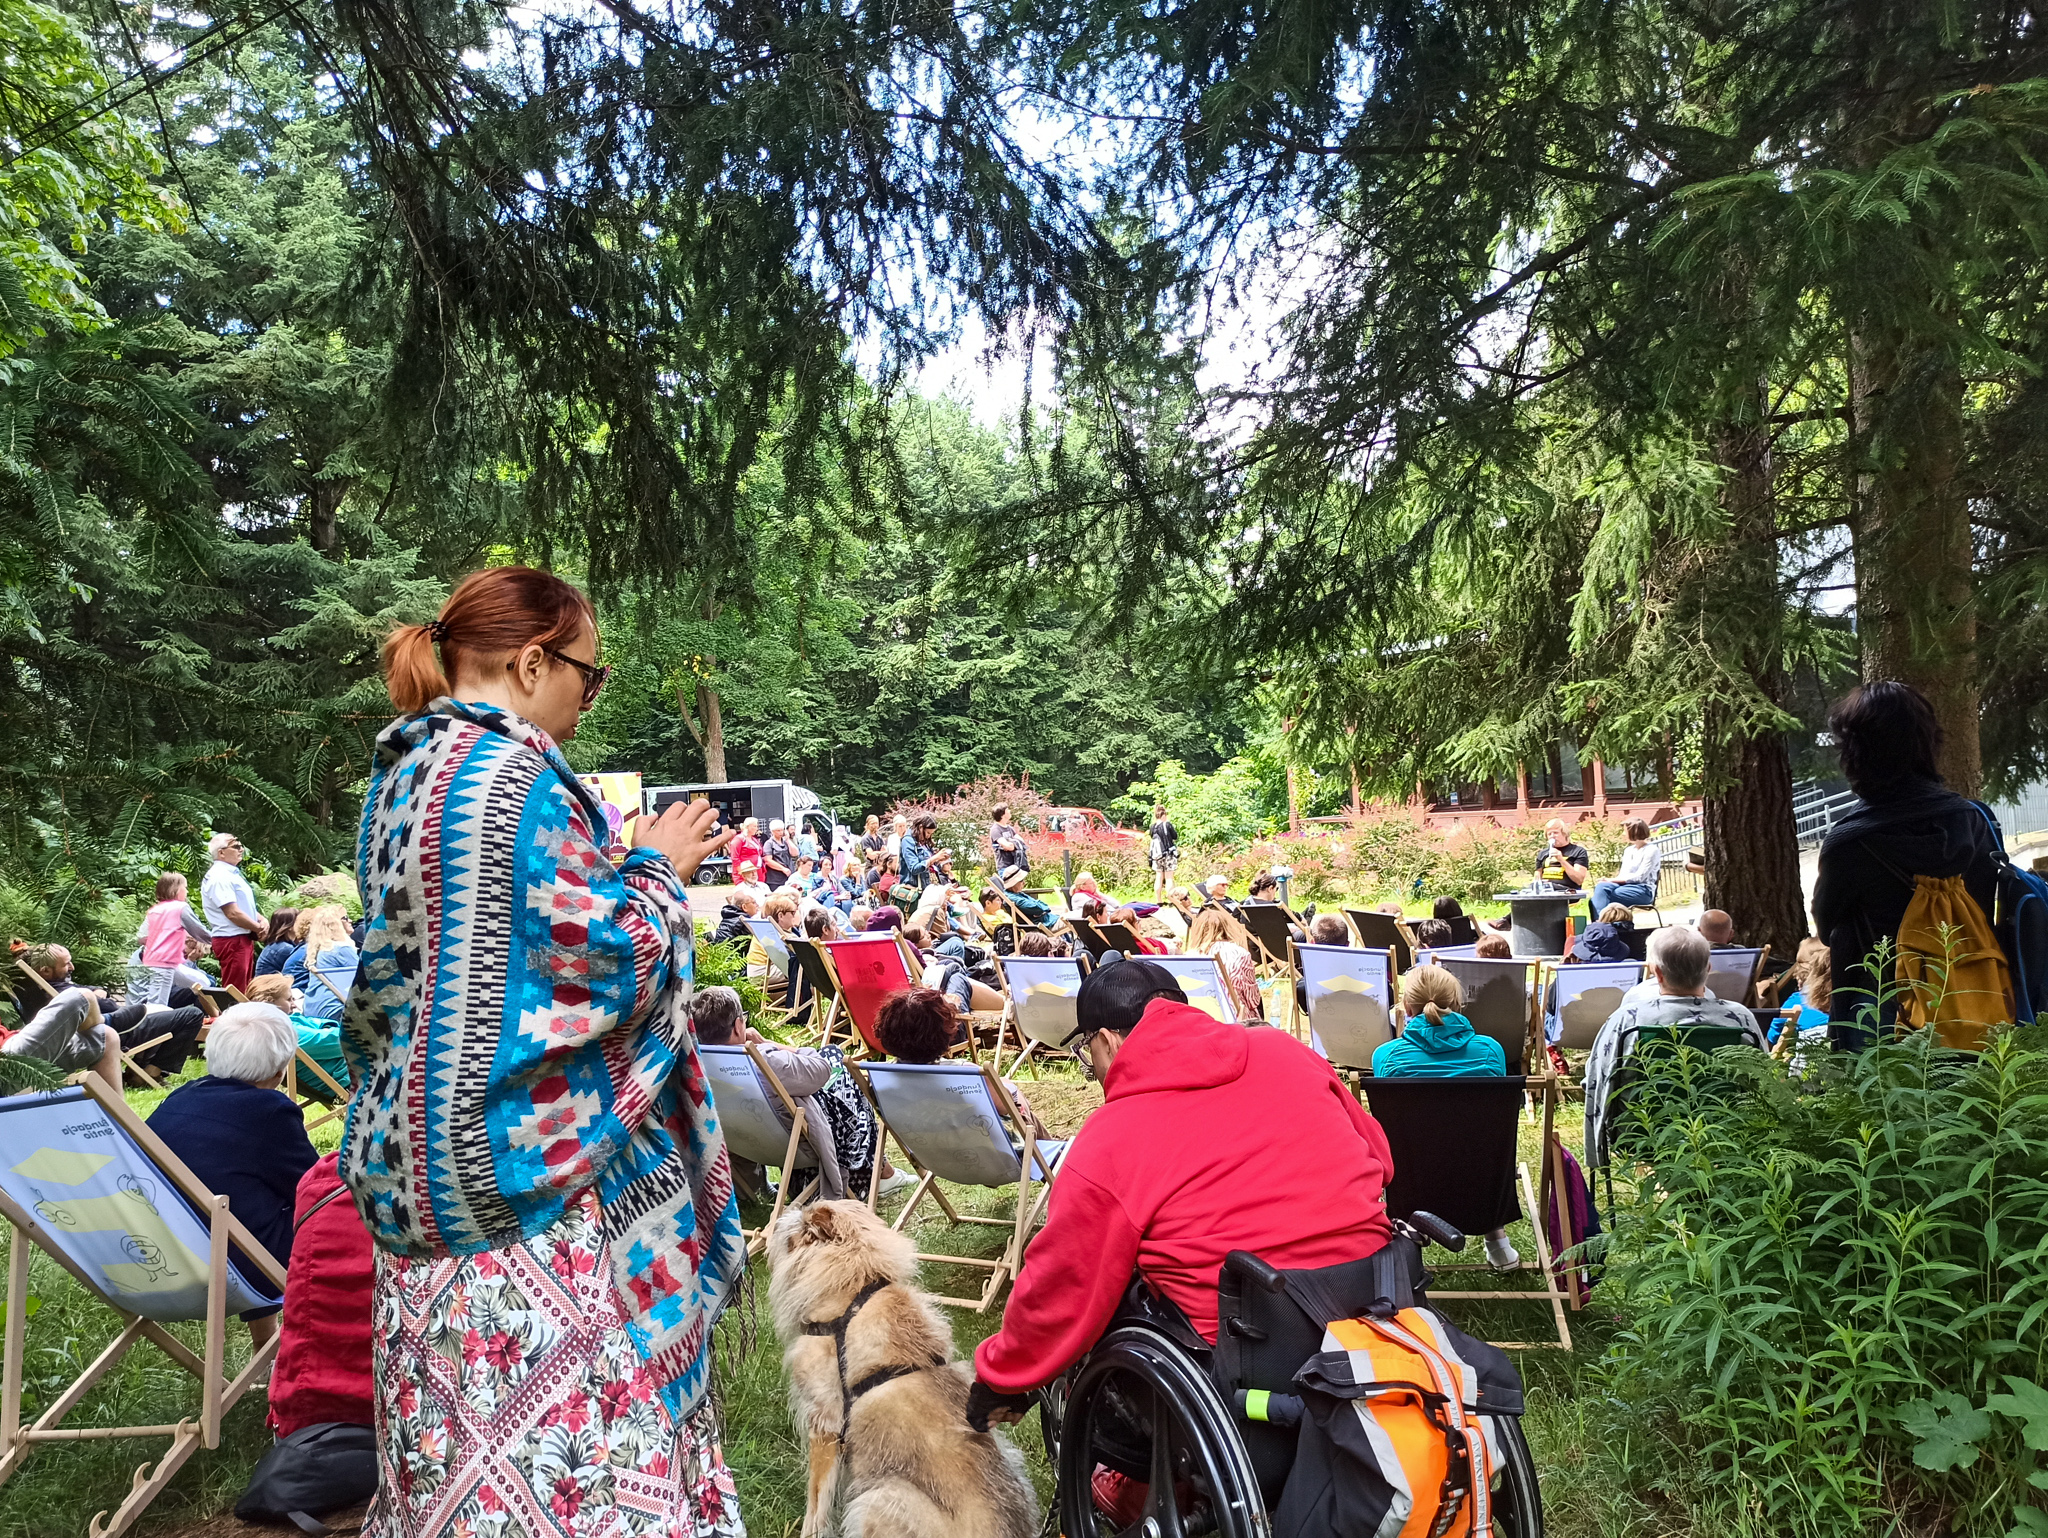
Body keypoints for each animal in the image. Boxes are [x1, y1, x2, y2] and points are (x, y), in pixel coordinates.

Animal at [770, 1204, 1040, 1538]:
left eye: (801, 1221)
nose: (790, 1207)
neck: (854, 1291)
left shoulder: (824, 1425)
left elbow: (817, 1501)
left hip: (878, 1500)